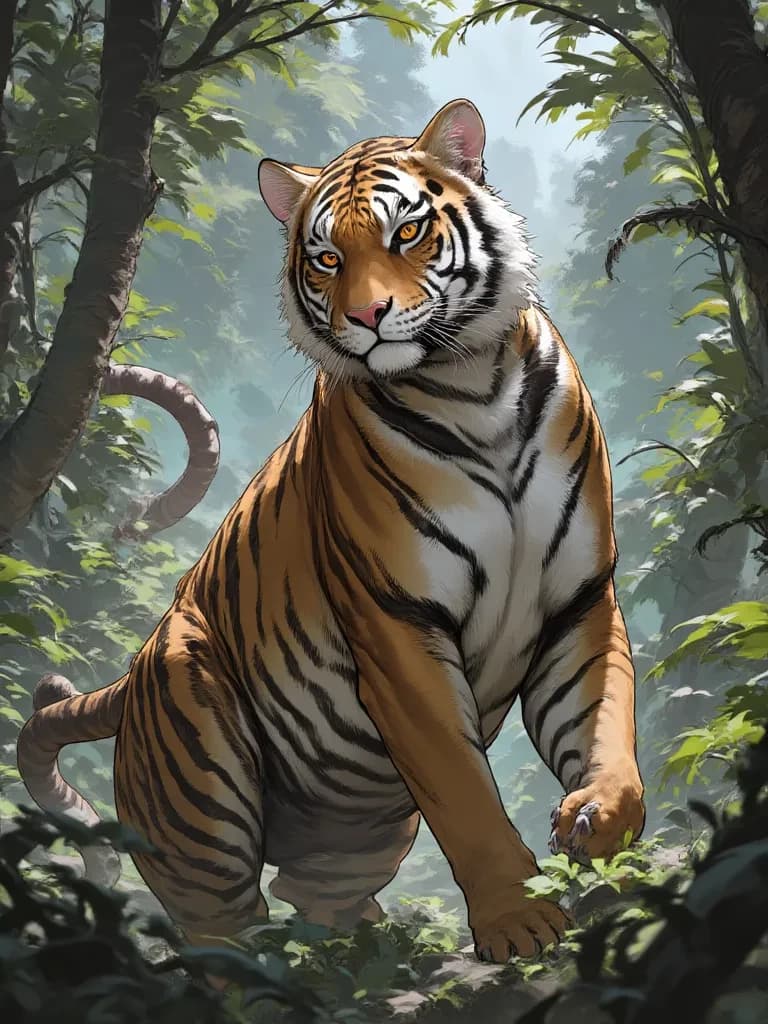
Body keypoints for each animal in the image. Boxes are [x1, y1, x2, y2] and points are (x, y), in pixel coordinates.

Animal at [17, 98, 645, 966]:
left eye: (406, 233)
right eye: (324, 257)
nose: (367, 317)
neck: (470, 386)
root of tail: (133, 673)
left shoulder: (578, 600)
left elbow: (608, 719)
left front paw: (601, 826)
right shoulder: (397, 622)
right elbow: (462, 790)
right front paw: (518, 920)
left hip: (356, 826)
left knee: (317, 899)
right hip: (201, 780)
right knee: (221, 935)